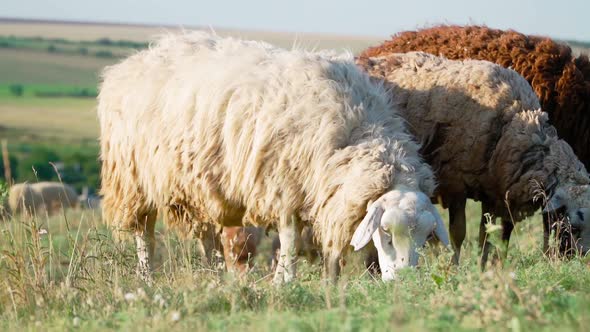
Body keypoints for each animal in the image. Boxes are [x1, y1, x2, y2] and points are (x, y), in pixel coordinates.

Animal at [98, 32, 448, 284]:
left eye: (424, 237)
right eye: (386, 233)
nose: (404, 281)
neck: (357, 127)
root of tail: (134, 60)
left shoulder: (325, 192)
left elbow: (327, 245)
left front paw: (330, 281)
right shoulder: (284, 189)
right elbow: (290, 241)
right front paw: (284, 281)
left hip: (198, 182)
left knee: (206, 235)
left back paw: (212, 275)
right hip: (132, 178)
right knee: (144, 233)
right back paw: (148, 278)